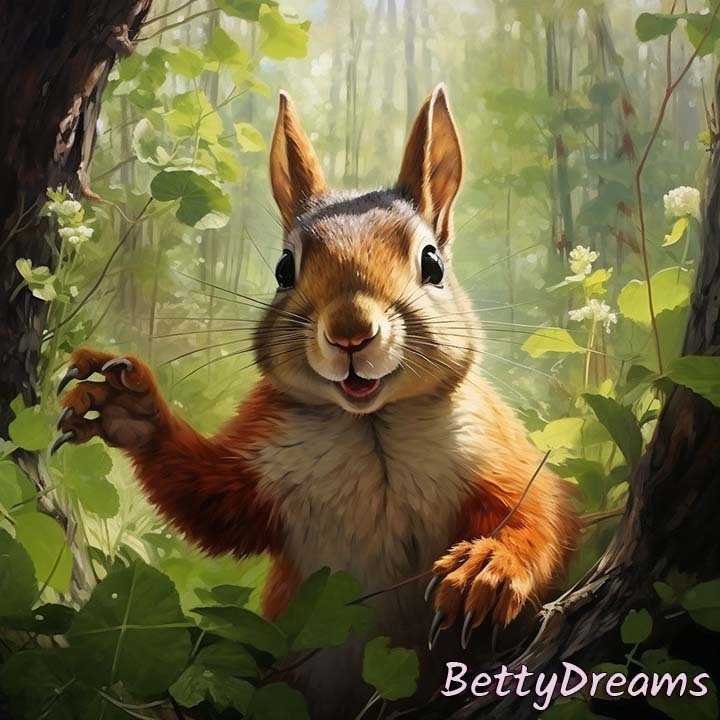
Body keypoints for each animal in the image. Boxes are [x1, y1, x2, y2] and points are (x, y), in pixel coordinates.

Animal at [55, 85, 580, 718]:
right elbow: (210, 500)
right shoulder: (263, 459)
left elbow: (542, 509)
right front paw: (124, 404)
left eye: (432, 264)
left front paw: (488, 569)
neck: (371, 427)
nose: (351, 332)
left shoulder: (495, 445)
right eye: (284, 268)